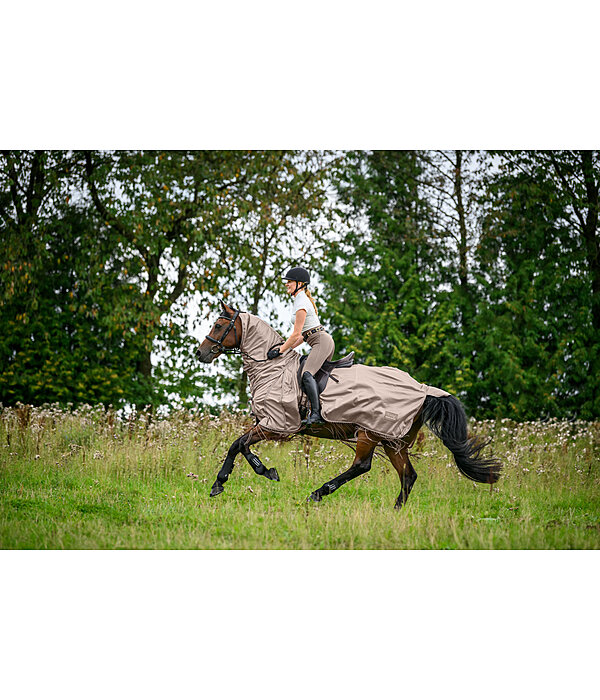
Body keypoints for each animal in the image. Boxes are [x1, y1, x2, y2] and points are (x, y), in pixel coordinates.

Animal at [197, 300, 502, 508]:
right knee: (408, 475)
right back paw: (395, 511)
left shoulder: (279, 425)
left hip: (370, 433)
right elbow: (241, 445)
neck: (272, 367)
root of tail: (422, 390)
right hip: (392, 441)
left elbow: (238, 444)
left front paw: (225, 481)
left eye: (219, 326)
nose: (201, 353)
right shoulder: (269, 424)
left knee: (362, 466)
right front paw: (260, 470)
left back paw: (318, 493)